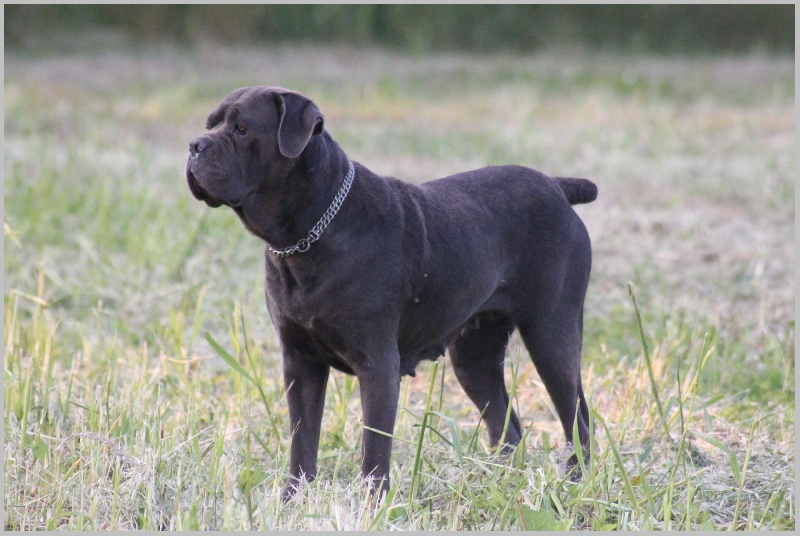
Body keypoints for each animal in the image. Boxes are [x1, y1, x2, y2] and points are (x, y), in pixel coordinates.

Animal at [188, 86, 596, 500]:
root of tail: (556, 186)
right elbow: (302, 439)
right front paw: (292, 498)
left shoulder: (377, 364)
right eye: (210, 124)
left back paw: (575, 482)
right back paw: (497, 481)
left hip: (551, 334)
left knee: (576, 417)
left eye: (241, 129)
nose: (195, 145)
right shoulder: (299, 362)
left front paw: (372, 502)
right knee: (506, 421)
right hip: (473, 354)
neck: (309, 235)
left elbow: (374, 445)